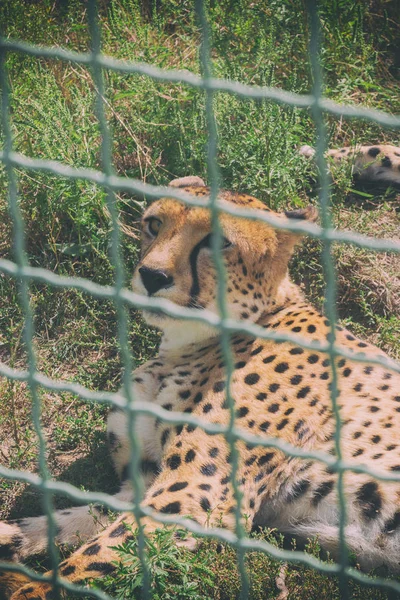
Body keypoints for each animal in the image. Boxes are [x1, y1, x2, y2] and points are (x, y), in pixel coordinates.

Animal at [0, 171, 400, 596]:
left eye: (217, 242)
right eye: (155, 224)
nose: (152, 276)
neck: (186, 343)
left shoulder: (195, 491)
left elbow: (85, 562)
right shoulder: (143, 482)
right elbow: (71, 521)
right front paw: (11, 537)